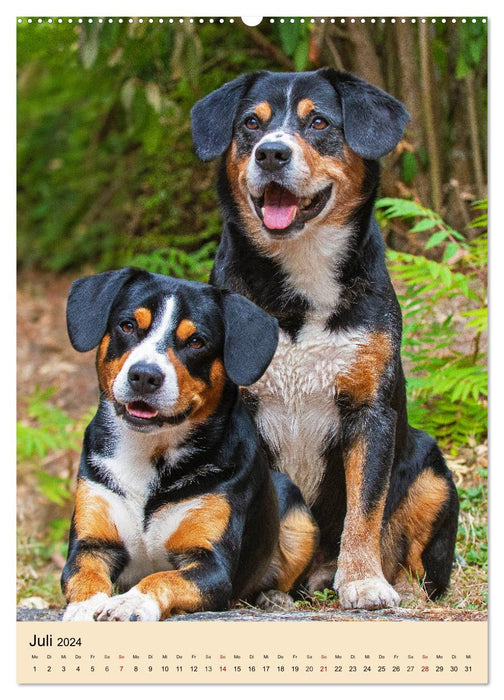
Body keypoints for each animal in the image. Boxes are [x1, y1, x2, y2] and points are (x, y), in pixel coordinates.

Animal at [62, 270, 316, 624]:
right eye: (127, 326)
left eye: (196, 341)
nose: (144, 375)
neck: (148, 452)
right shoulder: (91, 542)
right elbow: (85, 575)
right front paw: (84, 607)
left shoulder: (211, 565)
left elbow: (161, 578)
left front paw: (131, 603)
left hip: (298, 517)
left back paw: (274, 597)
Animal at [191, 68, 458, 608]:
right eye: (251, 123)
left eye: (318, 122)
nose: (271, 153)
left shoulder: (370, 413)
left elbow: (365, 509)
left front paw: (362, 579)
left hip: (431, 469)